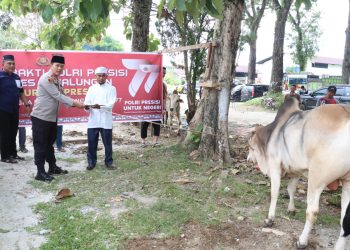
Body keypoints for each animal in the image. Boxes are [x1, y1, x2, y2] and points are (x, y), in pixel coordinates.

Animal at [246, 97, 350, 250]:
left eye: (249, 145)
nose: (248, 159)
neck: (271, 133)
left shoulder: (274, 165)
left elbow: (274, 193)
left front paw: (270, 219)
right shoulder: (295, 171)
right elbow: (291, 189)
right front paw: (291, 209)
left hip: (316, 179)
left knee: (312, 211)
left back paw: (302, 241)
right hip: (347, 183)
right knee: (345, 219)